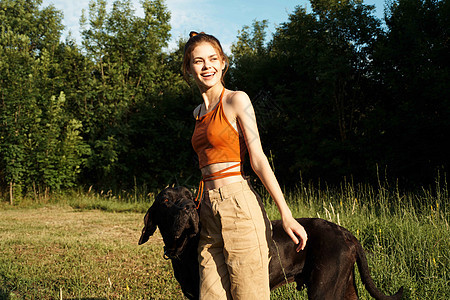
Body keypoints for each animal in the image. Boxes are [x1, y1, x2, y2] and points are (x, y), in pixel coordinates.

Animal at [139, 186, 402, 298]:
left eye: (190, 197)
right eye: (165, 201)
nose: (187, 208)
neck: (183, 248)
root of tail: (347, 233)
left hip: (323, 289)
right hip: (344, 287)